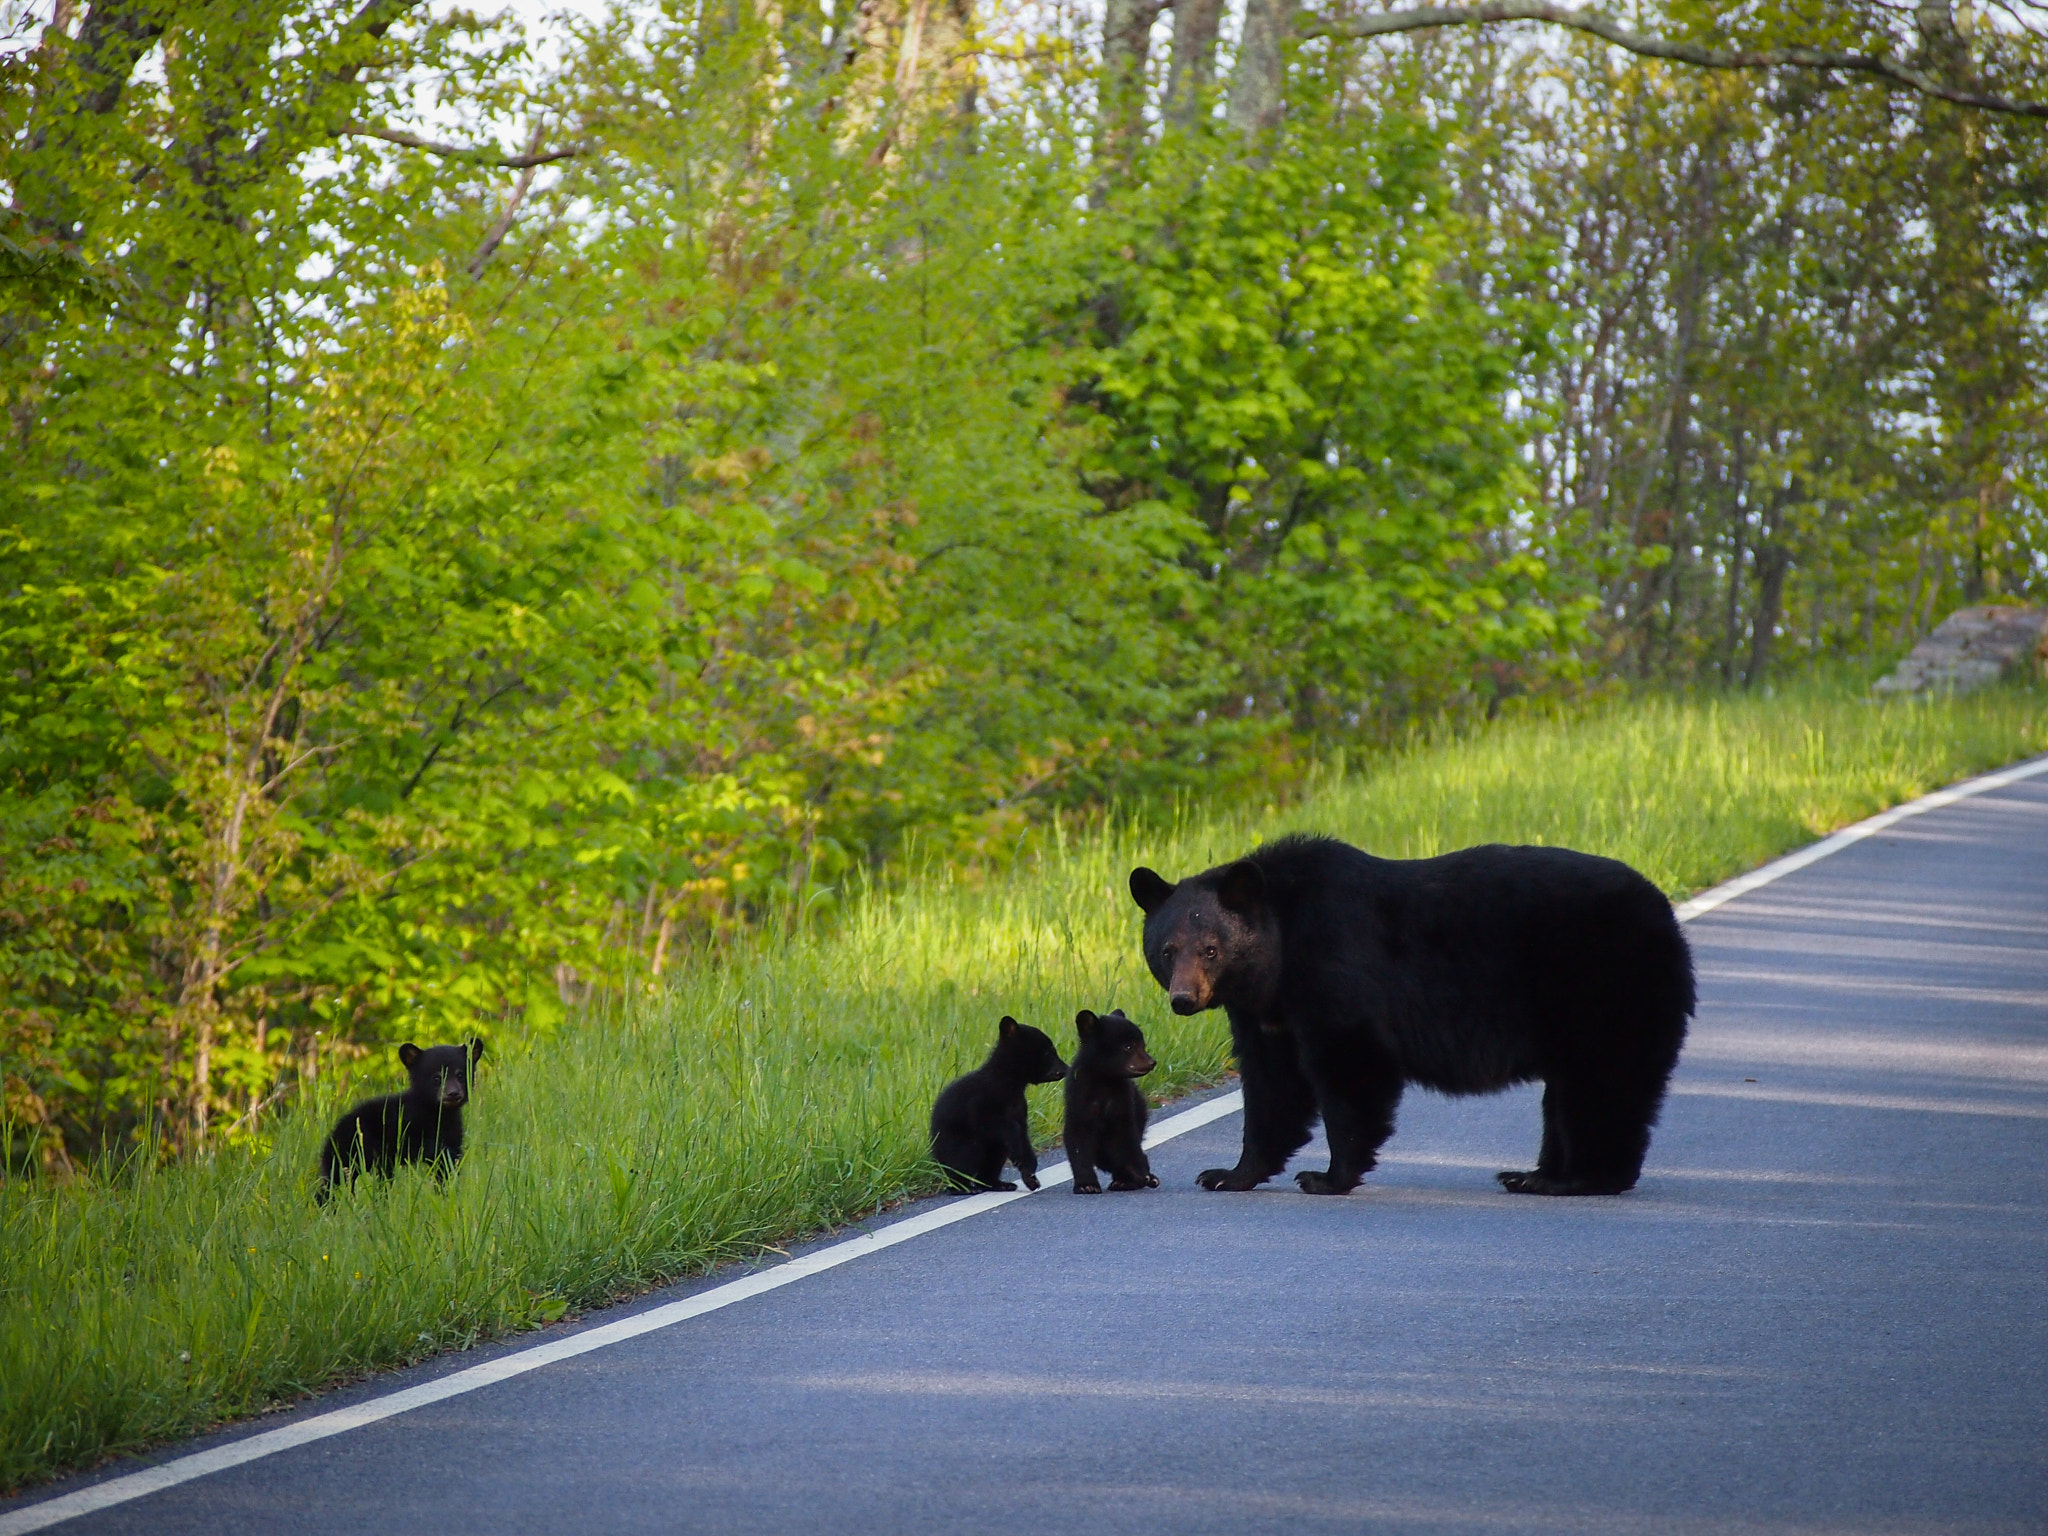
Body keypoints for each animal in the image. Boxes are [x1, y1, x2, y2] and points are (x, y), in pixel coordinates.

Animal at [317, 1039, 484, 1202]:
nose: (453, 1093)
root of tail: (331, 1136)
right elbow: (414, 1146)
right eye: (436, 1077)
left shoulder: (453, 1133)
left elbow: (447, 1169)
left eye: (460, 1074)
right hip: (351, 1149)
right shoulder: (400, 1124)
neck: (437, 1113)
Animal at [929, 1016, 1068, 1192]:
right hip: (955, 1141)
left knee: (993, 1159)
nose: (1066, 1068)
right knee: (964, 1157)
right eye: (1048, 1051)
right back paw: (964, 1187)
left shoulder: (1019, 1106)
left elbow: (1023, 1132)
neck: (1009, 1083)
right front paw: (1018, 1155)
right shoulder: (982, 1098)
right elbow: (987, 1120)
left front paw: (1029, 1173)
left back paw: (999, 1183)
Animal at [1064, 1008, 1160, 1194]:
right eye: (1128, 1047)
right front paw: (1086, 1184)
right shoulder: (1079, 1098)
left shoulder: (1122, 1100)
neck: (1105, 1080)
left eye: (1142, 1044)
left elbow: (1126, 1139)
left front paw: (1135, 1177)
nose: (1152, 1062)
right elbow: (1077, 1140)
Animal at [1129, 834, 1693, 1197]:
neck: (1281, 948)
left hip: (1602, 986)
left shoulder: (1333, 968)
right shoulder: (1266, 1012)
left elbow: (1349, 1068)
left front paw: (1327, 1177)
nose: (1183, 999)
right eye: (1166, 950)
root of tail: (1664, 911)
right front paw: (1229, 1173)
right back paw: (1532, 1176)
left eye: (1210, 949)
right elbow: (1272, 1087)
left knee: (1599, 1084)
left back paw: (1576, 1179)